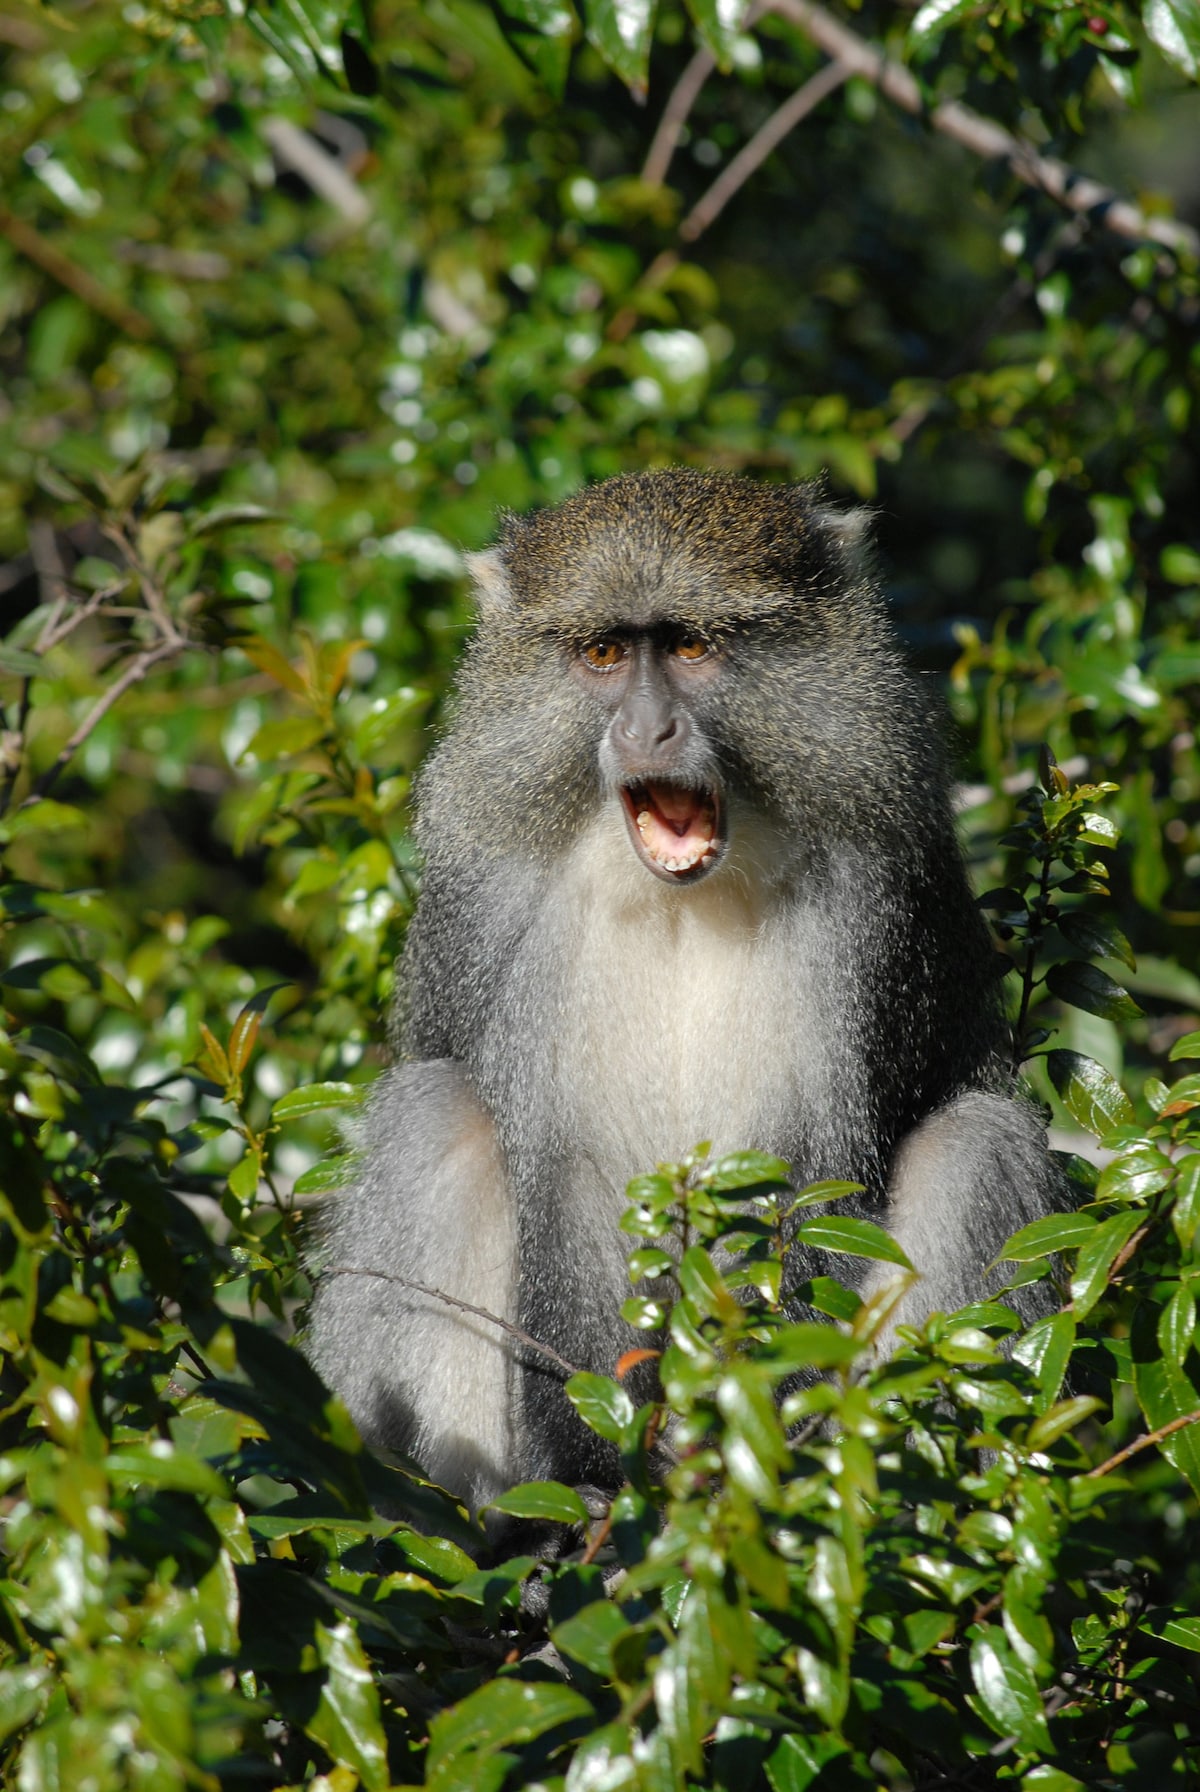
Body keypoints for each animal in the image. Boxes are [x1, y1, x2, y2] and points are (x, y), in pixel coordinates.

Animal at [306, 465, 1067, 1512]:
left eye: (691, 646)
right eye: (601, 652)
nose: (646, 727)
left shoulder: (870, 904)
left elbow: (810, 1179)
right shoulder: (493, 900)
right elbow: (564, 1179)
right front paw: (592, 1481)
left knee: (976, 1140)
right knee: (435, 1110)